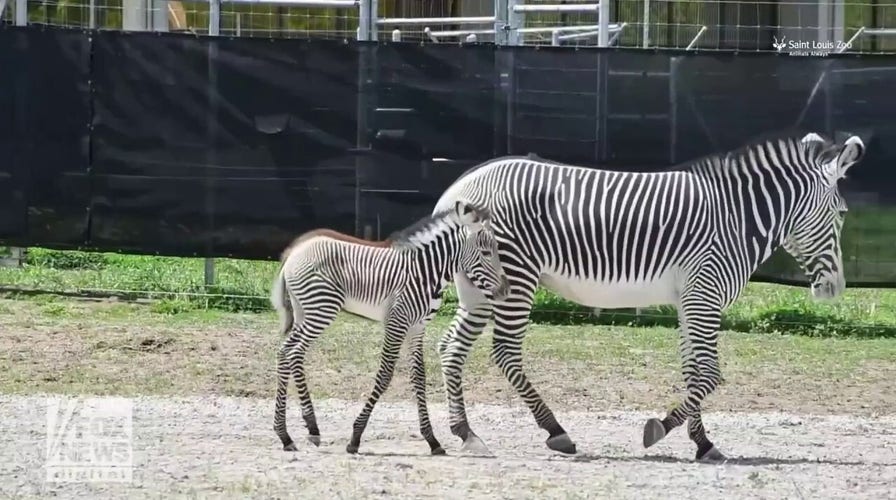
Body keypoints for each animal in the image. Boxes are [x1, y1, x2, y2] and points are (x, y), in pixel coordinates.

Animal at [270, 199, 510, 455]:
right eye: (486, 252)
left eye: (496, 250)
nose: (505, 291)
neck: (425, 272)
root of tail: (294, 252)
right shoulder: (397, 322)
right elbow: (385, 375)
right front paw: (355, 437)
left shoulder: (417, 327)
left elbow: (419, 377)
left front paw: (432, 440)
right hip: (321, 310)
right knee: (291, 352)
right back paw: (298, 432)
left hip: (305, 311)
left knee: (289, 353)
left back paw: (297, 432)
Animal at [429, 131, 866, 462]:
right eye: (843, 213)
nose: (835, 289)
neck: (737, 221)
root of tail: (457, 189)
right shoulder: (705, 296)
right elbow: (710, 374)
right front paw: (661, 428)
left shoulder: (691, 301)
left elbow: (693, 372)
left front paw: (702, 443)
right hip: (516, 275)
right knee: (505, 351)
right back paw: (556, 431)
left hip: (479, 285)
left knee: (452, 347)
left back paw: (465, 432)